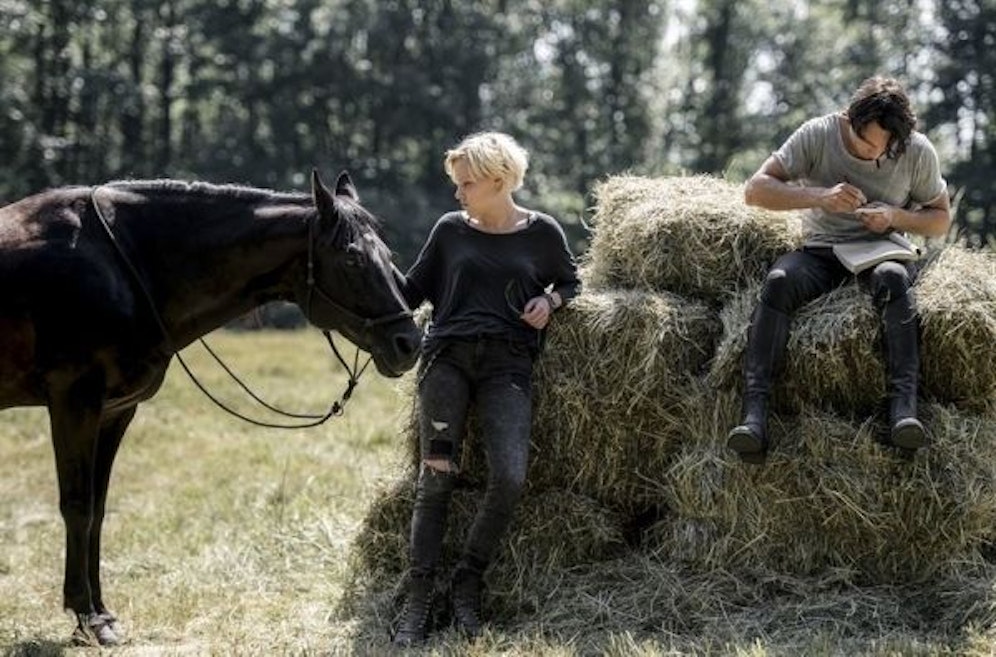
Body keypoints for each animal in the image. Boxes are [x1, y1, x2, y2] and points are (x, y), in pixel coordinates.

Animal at [0, 170, 421, 645]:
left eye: (386, 254)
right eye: (352, 259)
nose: (408, 343)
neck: (123, 263)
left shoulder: (114, 411)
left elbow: (98, 509)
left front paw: (102, 613)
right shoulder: (74, 402)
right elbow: (78, 507)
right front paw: (86, 617)